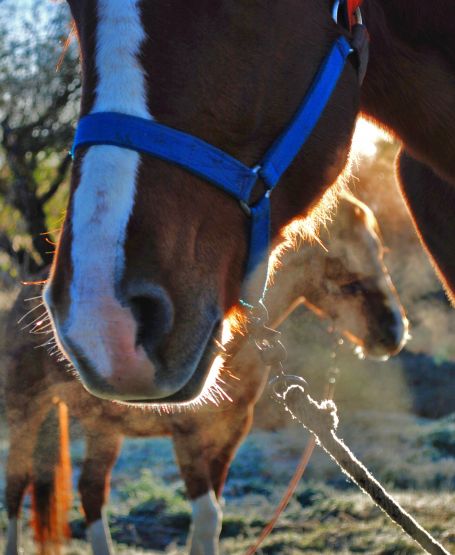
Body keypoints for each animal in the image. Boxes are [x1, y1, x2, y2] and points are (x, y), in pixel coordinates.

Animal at [3, 194, 408, 555]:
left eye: (380, 251)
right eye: (339, 253)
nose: (393, 331)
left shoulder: (229, 432)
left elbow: (212, 516)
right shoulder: (188, 437)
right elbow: (208, 516)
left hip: (103, 428)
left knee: (90, 490)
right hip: (27, 414)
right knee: (16, 489)